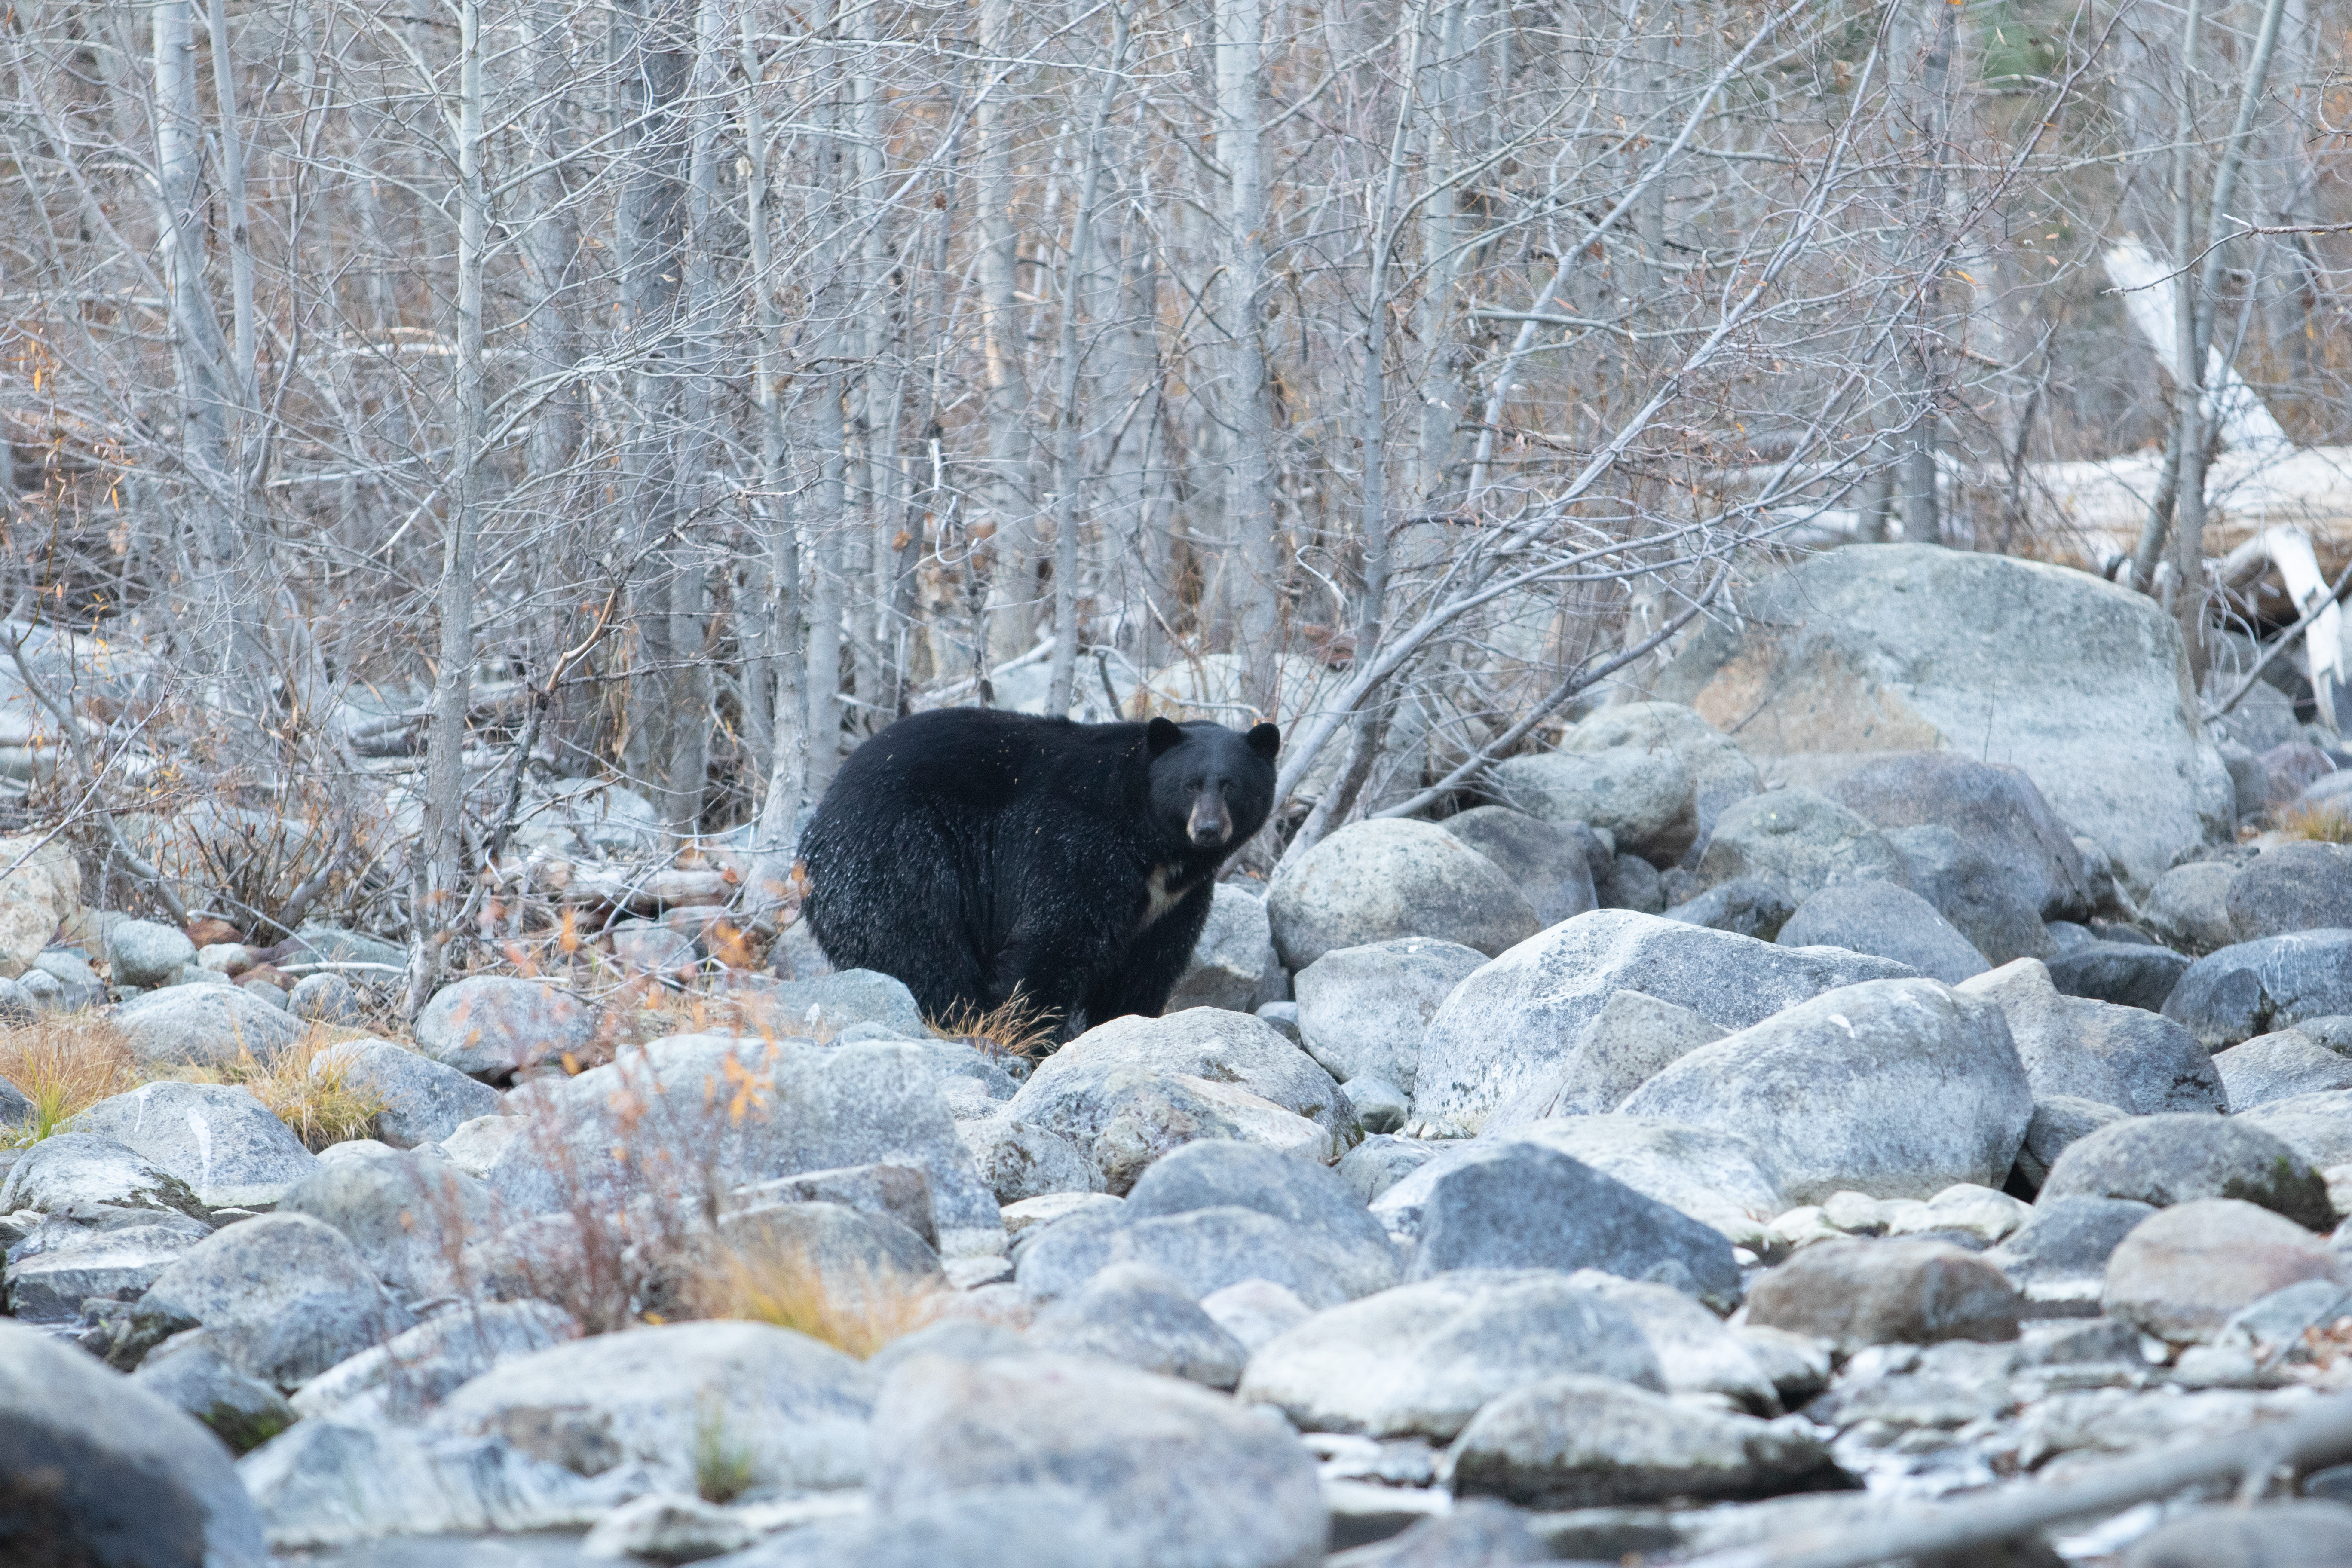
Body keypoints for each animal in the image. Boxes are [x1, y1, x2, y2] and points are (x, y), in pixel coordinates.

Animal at [798, 707, 1281, 1037]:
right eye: (1189, 785)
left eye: (1232, 785)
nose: (1209, 830)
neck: (1155, 847)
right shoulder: (1076, 845)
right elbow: (1055, 942)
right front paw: (1028, 1037)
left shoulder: (1177, 901)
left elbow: (1148, 966)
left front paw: (1125, 1023)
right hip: (901, 856)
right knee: (923, 948)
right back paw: (960, 1019)